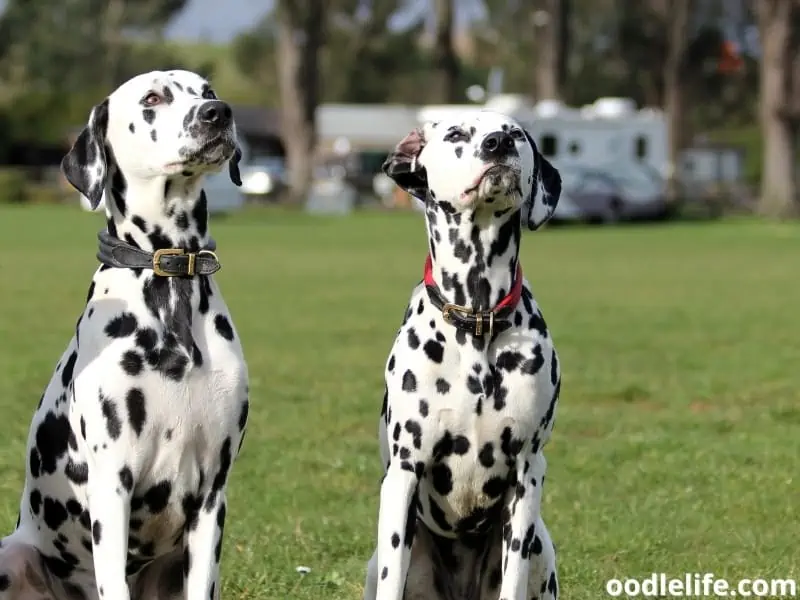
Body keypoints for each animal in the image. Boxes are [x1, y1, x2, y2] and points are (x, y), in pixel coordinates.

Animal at [0, 71, 248, 600]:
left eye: (207, 90)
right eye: (153, 98)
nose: (218, 113)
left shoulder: (212, 496)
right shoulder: (112, 485)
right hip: (14, 553)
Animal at [362, 109, 564, 600]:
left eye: (514, 134)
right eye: (455, 133)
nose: (497, 144)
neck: (477, 317)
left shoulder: (527, 472)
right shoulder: (404, 472)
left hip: (542, 549)